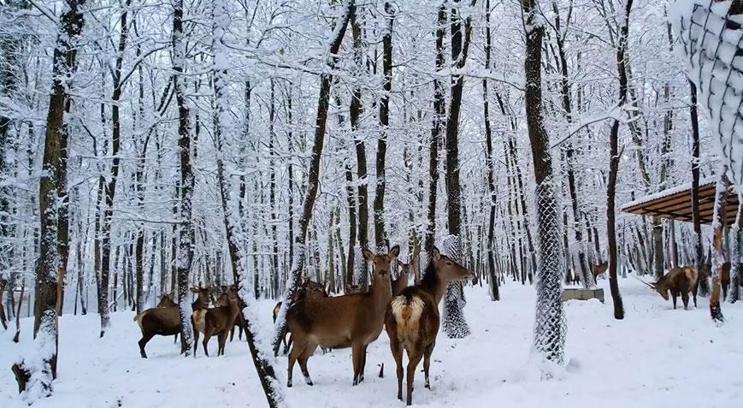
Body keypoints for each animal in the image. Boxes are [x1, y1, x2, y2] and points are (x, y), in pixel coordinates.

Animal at [284, 244, 402, 388]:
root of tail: (288, 312)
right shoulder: (356, 336)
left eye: (389, 261)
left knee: (302, 358)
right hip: (299, 335)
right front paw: (354, 384)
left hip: (312, 340)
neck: (374, 311)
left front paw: (361, 381)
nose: (383, 272)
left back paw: (309, 382)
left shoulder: (365, 341)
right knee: (291, 356)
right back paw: (289, 383)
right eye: (375, 262)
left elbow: (363, 365)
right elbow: (356, 367)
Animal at [386, 245, 474, 404]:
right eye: (449, 262)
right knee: (410, 369)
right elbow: (427, 364)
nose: (470, 273)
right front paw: (427, 386)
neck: (434, 294)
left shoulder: (407, 345)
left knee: (399, 368)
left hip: (394, 338)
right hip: (420, 338)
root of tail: (406, 305)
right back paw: (409, 401)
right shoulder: (432, 339)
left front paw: (413, 388)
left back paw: (400, 397)